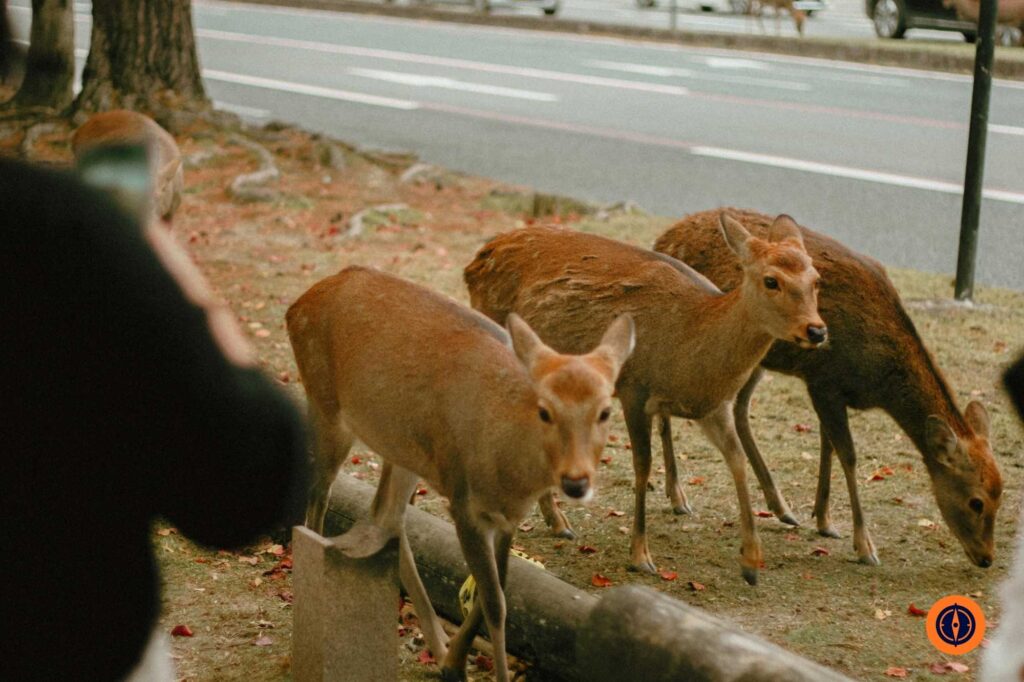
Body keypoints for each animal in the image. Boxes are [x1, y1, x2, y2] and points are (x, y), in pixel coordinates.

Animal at [286, 266, 634, 682]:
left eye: (605, 411)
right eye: (545, 410)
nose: (576, 481)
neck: (511, 476)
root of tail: (298, 304)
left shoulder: (506, 518)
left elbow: (496, 591)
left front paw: (455, 662)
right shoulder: (464, 501)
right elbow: (495, 602)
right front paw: (486, 671)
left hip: (403, 449)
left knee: (386, 514)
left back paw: (437, 644)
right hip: (326, 406)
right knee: (318, 498)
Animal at [464, 214, 827, 585]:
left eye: (816, 280)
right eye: (771, 280)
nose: (816, 330)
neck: (690, 349)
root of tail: (476, 260)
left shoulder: (713, 408)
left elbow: (737, 460)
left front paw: (751, 562)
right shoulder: (634, 389)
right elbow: (643, 465)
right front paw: (640, 555)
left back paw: (556, 521)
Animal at [654, 208, 1002, 568]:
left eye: (1000, 496)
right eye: (976, 501)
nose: (986, 558)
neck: (880, 379)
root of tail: (664, 236)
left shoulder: (829, 390)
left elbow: (827, 446)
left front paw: (823, 520)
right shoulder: (823, 380)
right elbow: (847, 454)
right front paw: (865, 546)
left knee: (739, 408)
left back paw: (781, 508)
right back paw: (678, 496)